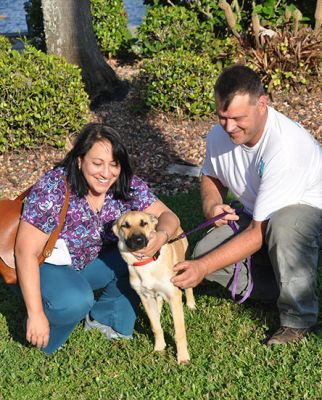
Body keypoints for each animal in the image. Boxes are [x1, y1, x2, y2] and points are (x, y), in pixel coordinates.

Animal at [112, 211, 195, 364]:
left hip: (184, 263)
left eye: (143, 223)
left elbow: (179, 332)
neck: (145, 263)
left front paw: (183, 358)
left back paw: (191, 305)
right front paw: (159, 348)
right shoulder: (145, 298)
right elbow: (156, 327)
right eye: (125, 225)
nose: (138, 240)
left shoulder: (174, 297)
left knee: (188, 288)